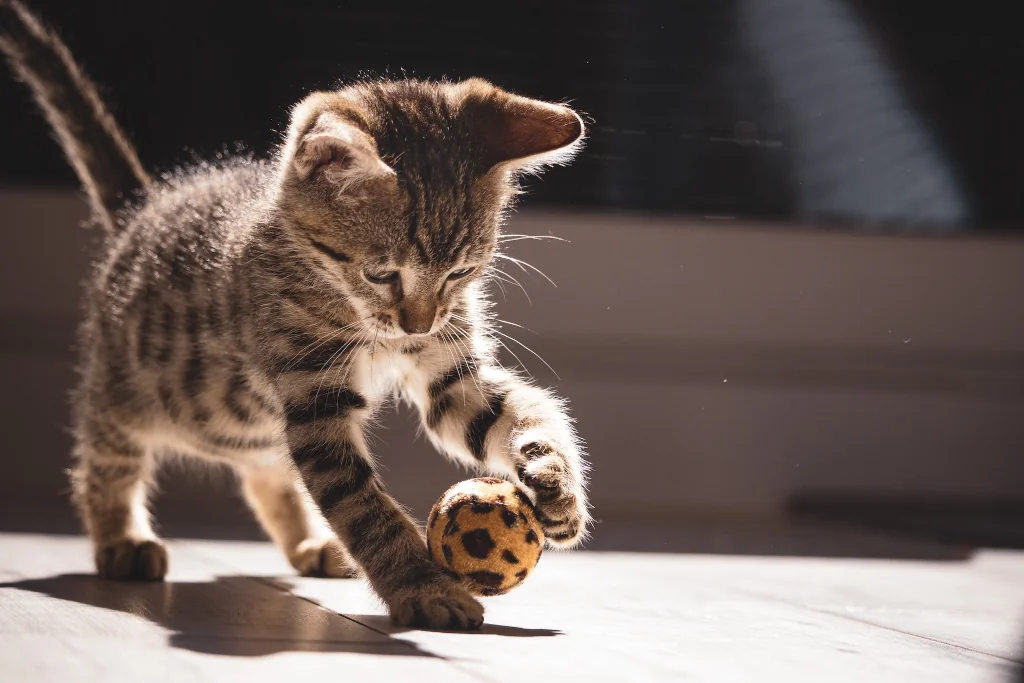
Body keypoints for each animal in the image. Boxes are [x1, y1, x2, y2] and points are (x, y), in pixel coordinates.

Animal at [2, 0, 593, 630]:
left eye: (460, 273)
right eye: (383, 274)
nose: (419, 324)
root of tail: (144, 211)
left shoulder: (450, 374)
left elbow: (518, 411)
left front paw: (556, 484)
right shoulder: (314, 399)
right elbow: (360, 504)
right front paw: (422, 586)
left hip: (253, 428)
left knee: (267, 473)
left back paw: (311, 544)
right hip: (125, 392)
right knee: (104, 458)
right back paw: (120, 539)